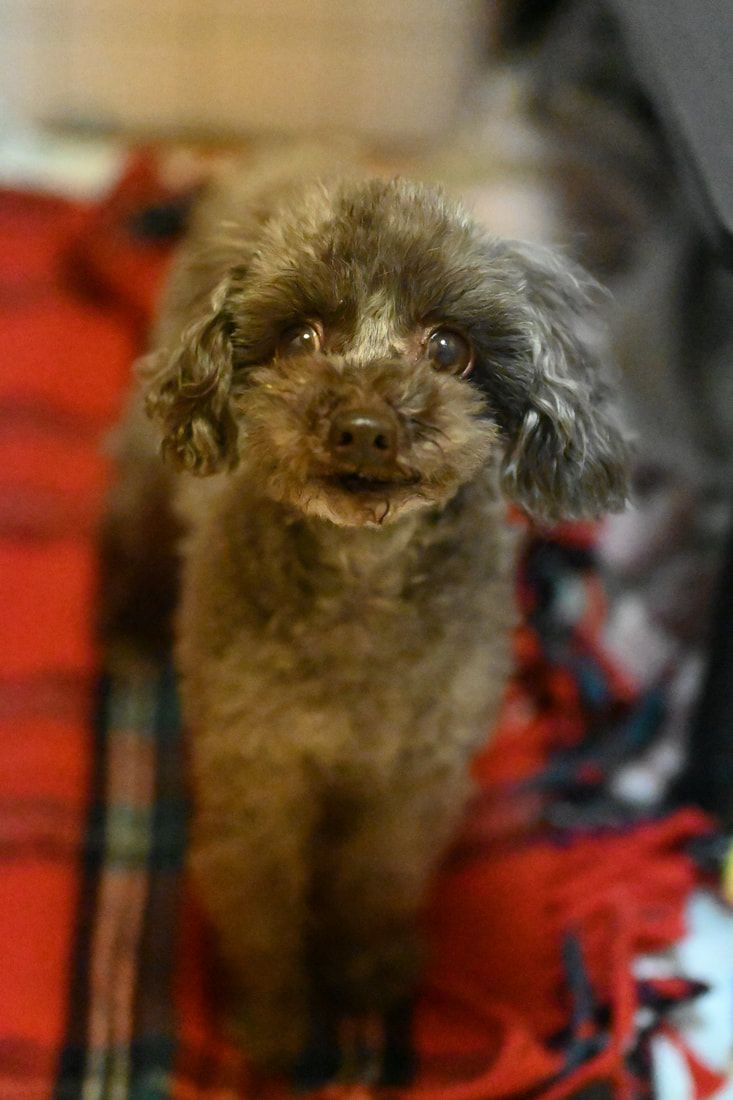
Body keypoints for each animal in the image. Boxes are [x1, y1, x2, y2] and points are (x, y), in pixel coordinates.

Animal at [104, 159, 629, 1069]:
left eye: (448, 347)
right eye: (300, 339)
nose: (362, 428)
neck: (361, 581)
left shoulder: (412, 777)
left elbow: (379, 880)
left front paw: (371, 975)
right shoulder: (258, 772)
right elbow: (262, 904)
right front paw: (275, 1027)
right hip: (147, 467)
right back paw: (131, 623)